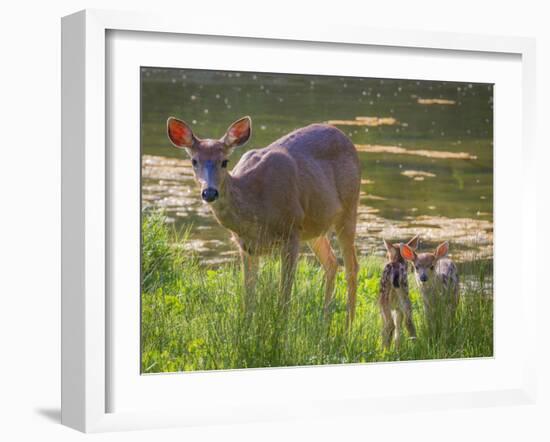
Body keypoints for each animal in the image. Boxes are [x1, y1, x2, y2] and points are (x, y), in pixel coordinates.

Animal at [166, 117, 362, 324]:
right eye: (194, 161)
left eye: (224, 162)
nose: (209, 192)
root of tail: (345, 138)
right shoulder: (246, 245)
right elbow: (249, 296)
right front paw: (246, 326)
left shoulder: (291, 230)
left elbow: (284, 294)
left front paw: (281, 327)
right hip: (314, 226)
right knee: (331, 263)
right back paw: (324, 322)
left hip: (349, 207)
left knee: (352, 267)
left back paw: (348, 325)